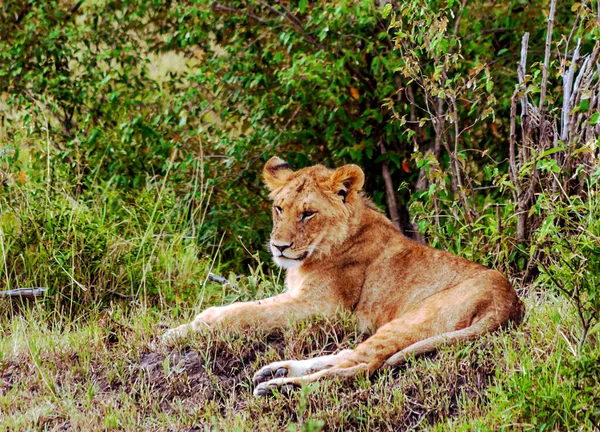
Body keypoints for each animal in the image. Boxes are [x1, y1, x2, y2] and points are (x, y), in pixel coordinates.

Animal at [164, 157, 524, 396]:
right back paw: (278, 369)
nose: (279, 246)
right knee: (349, 356)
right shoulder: (300, 298)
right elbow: (244, 307)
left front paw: (180, 331)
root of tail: (510, 302)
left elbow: (243, 313)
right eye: (279, 208)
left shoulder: (321, 307)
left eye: (308, 213)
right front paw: (191, 324)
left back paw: (280, 385)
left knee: (360, 368)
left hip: (413, 319)